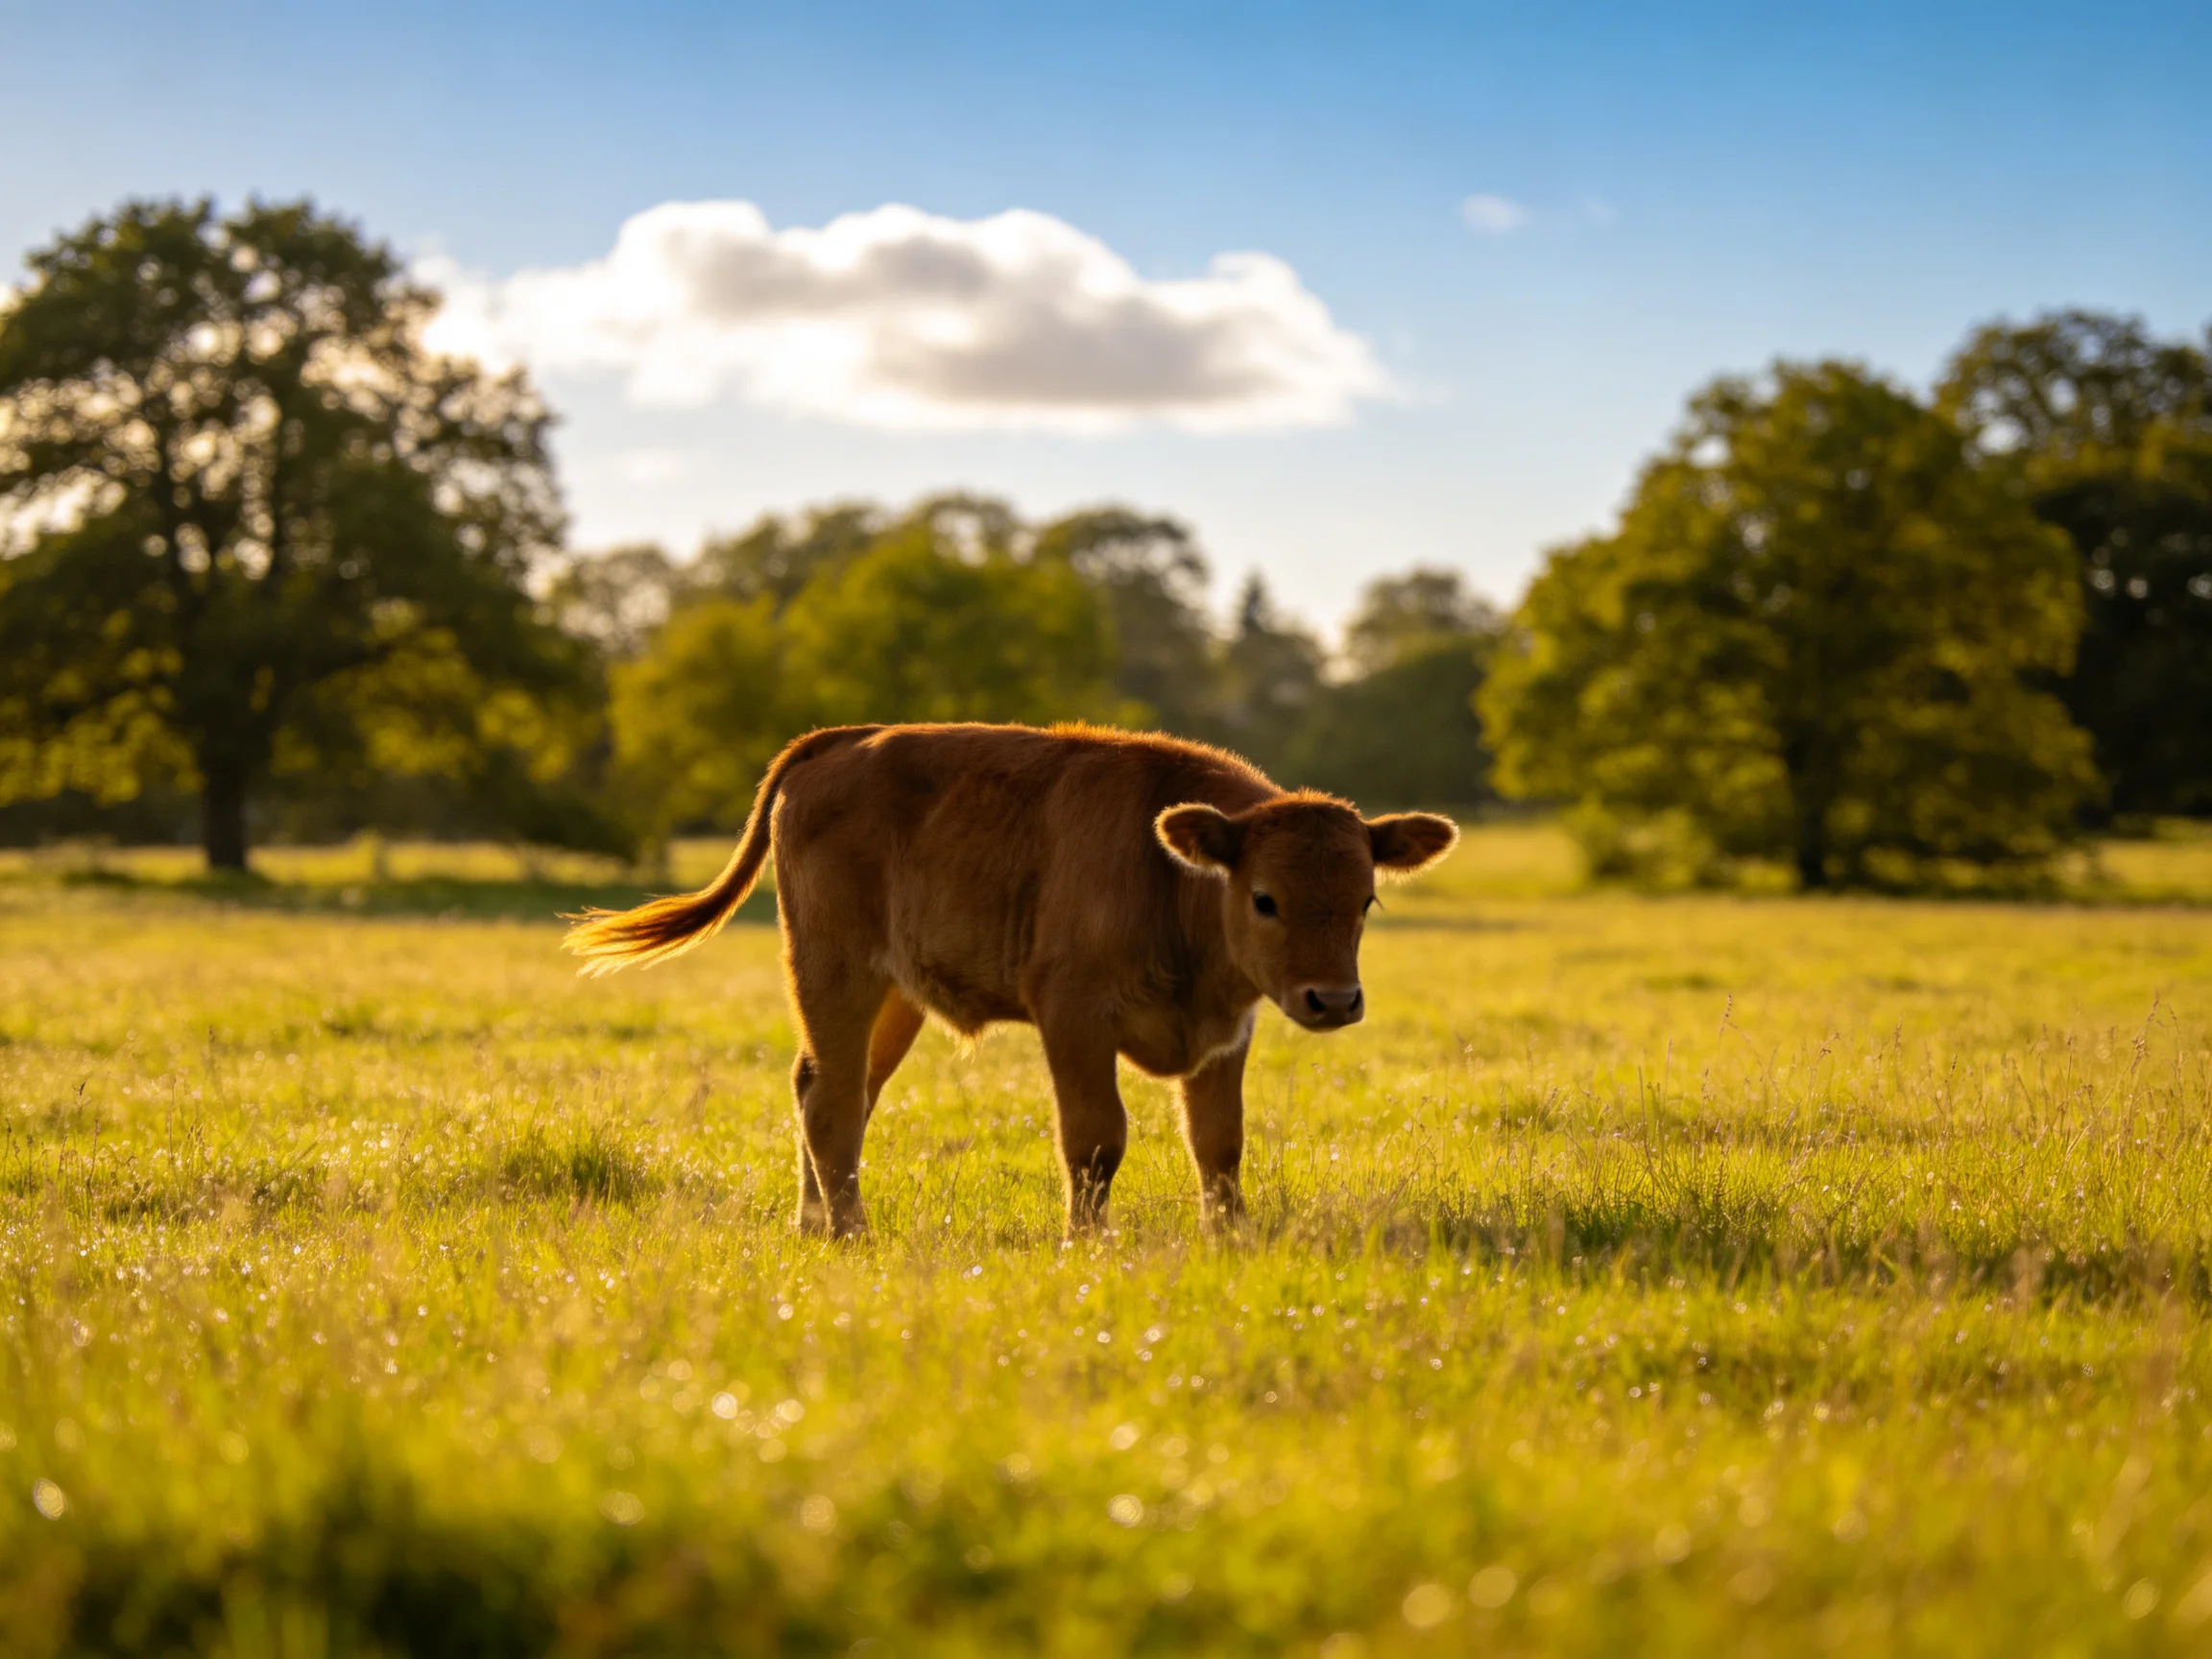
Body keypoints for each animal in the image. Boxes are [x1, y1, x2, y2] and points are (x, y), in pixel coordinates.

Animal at [563, 723, 1457, 1236]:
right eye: (1265, 898)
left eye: (1366, 897)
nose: (1332, 1000)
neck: (1173, 881)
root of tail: (843, 740)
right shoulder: (1075, 1018)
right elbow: (1095, 1140)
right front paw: (1086, 1242)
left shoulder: (1222, 1035)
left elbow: (1219, 1142)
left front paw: (1229, 1239)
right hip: (833, 972)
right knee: (832, 1100)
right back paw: (852, 1233)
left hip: (893, 997)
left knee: (829, 1087)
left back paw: (815, 1223)